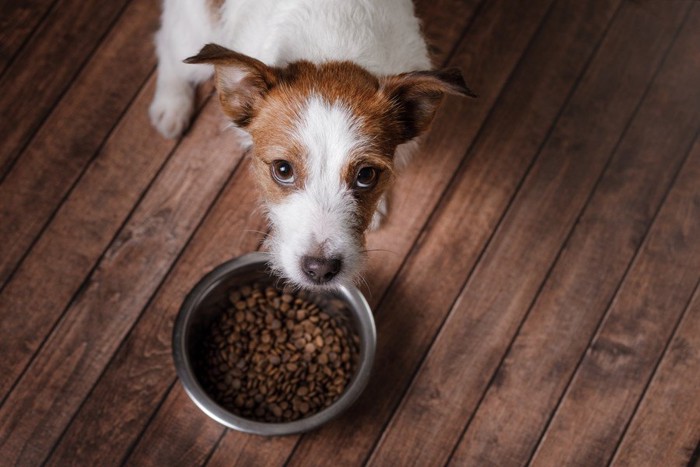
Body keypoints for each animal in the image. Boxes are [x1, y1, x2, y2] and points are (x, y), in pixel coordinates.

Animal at [150, 0, 474, 290]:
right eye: (283, 170)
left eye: (366, 175)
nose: (320, 270)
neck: (330, 47)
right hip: (194, 31)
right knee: (167, 45)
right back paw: (171, 105)